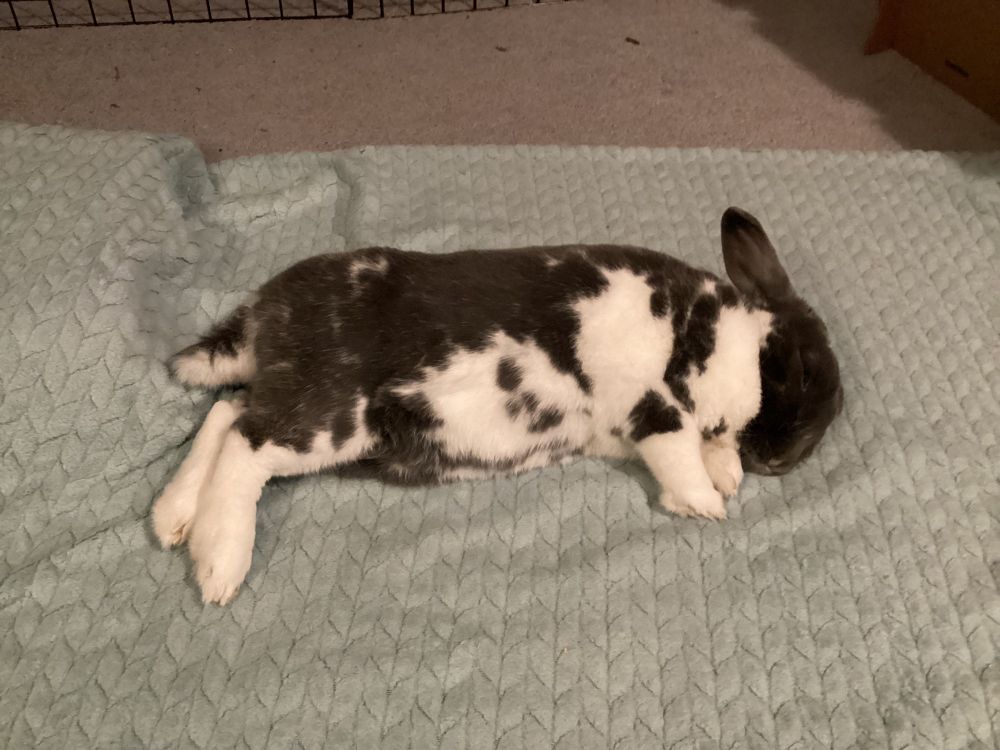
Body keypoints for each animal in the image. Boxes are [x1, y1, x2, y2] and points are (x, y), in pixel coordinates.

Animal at [152, 207, 843, 604]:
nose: (783, 460)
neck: (718, 328)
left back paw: (172, 519)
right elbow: (677, 449)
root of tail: (266, 313)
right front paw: (707, 503)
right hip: (329, 417)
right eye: (802, 369)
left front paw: (725, 475)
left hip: (306, 410)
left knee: (228, 412)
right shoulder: (655, 404)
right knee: (246, 446)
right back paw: (218, 564)